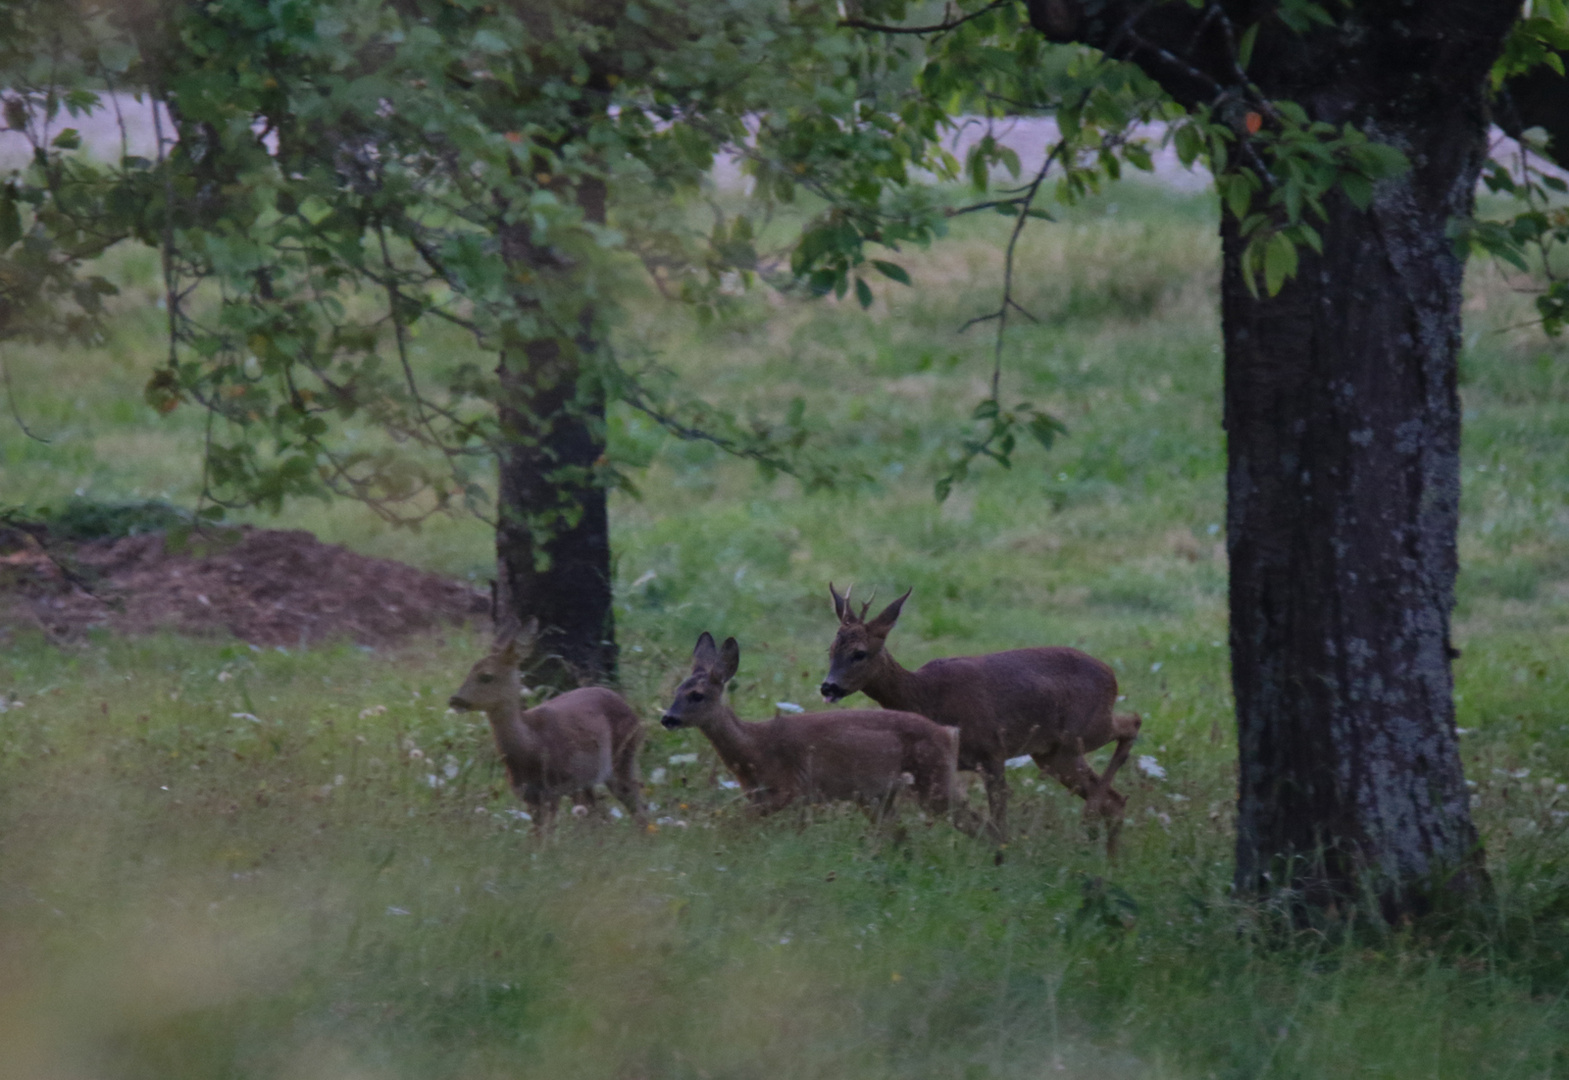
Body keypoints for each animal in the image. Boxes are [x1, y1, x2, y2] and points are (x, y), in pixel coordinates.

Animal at [448, 621, 649, 828]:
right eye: (470, 670)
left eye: (486, 676)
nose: (455, 700)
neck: (531, 745)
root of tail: (629, 708)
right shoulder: (527, 793)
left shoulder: (554, 789)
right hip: (588, 779)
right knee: (600, 811)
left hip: (624, 756)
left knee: (637, 802)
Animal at [658, 634, 979, 835]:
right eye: (676, 691)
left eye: (697, 695)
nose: (667, 718)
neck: (753, 748)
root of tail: (949, 733)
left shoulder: (790, 788)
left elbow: (738, 825)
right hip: (881, 794)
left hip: (933, 779)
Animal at [822, 587, 1142, 847]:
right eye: (831, 649)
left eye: (860, 653)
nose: (828, 686)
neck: (926, 695)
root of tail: (1111, 676)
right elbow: (964, 819)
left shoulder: (992, 750)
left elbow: (997, 820)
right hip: (1051, 754)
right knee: (1115, 801)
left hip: (1082, 731)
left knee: (1133, 723)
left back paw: (1090, 822)